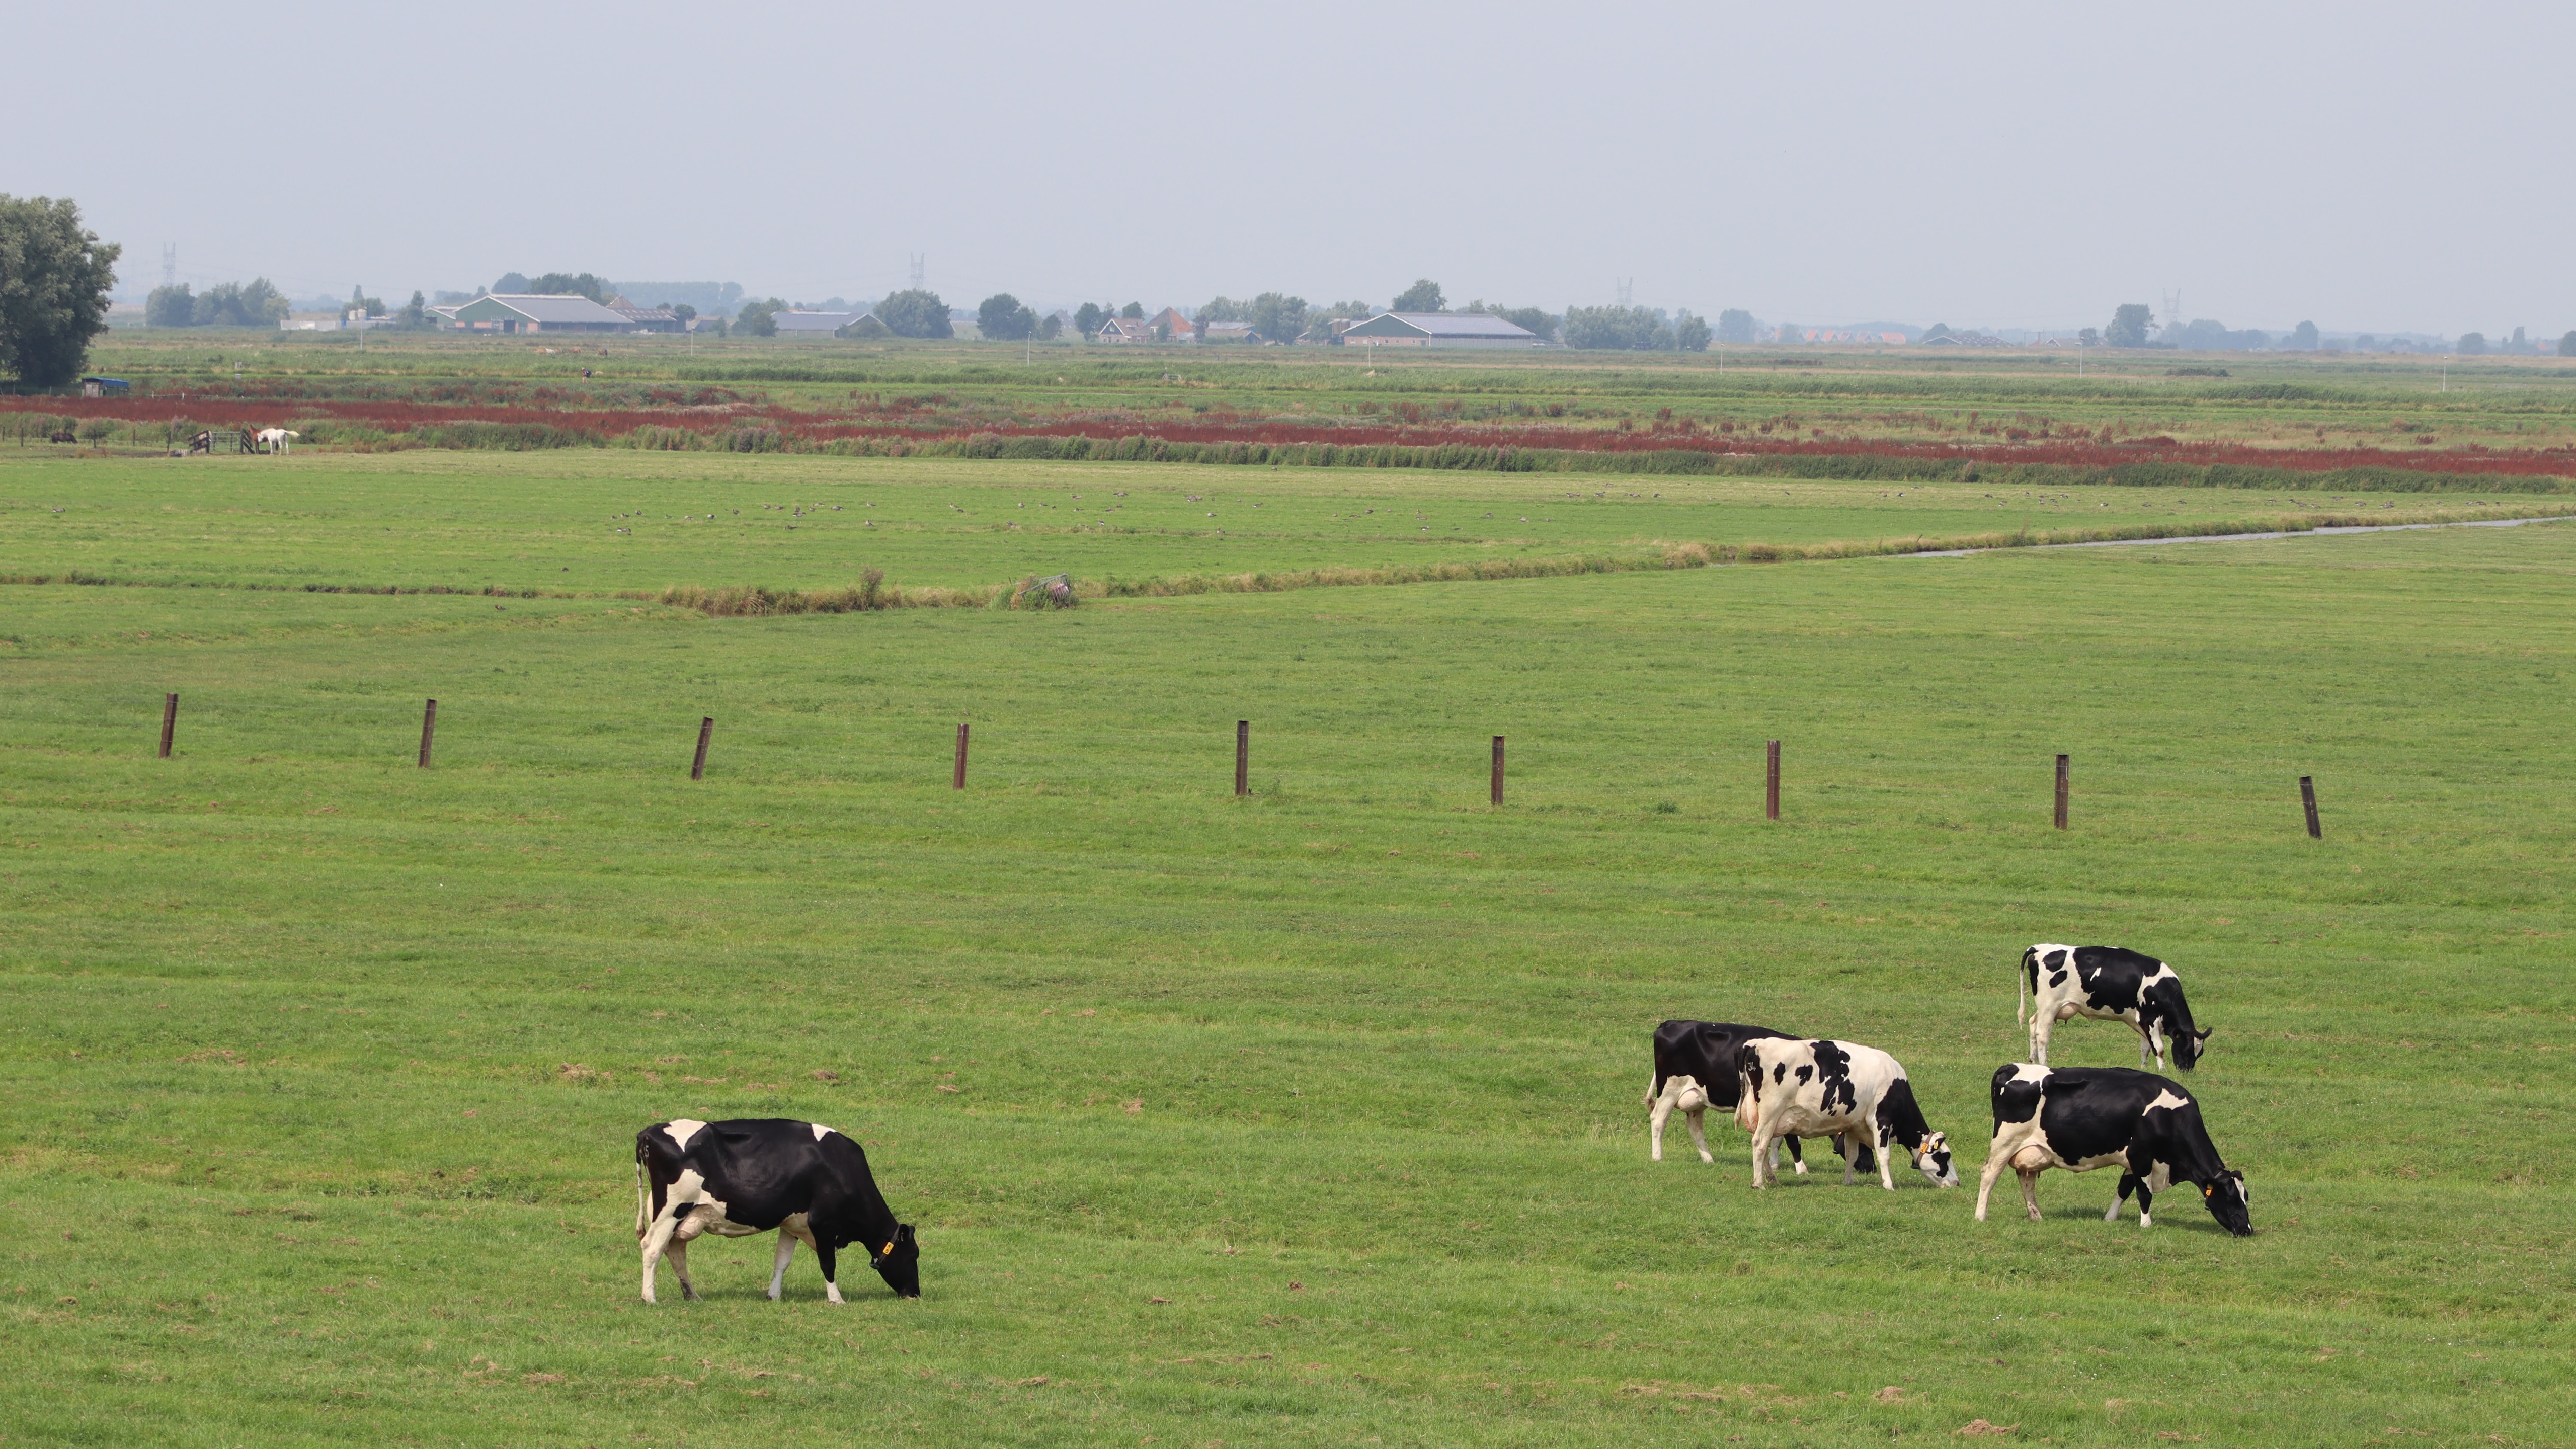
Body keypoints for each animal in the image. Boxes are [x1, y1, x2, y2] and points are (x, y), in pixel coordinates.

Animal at [635, 1118, 921, 1304]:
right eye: (913, 1255)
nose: (915, 1294)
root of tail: (650, 1131)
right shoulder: (823, 1223)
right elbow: (828, 1264)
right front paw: (836, 1299)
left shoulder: (793, 1223)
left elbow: (782, 1261)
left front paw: (773, 1295)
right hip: (671, 1209)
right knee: (652, 1247)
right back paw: (650, 1298)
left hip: (678, 1214)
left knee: (675, 1251)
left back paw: (692, 1295)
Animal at [1646, 1019, 1871, 1174]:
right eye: (1862, 1142)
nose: (1871, 1168)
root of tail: (1670, 1023)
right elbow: (1792, 1141)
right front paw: (1801, 1169)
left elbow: (1777, 1139)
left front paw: (1774, 1164)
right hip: (1670, 1088)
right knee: (1658, 1119)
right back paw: (1657, 1157)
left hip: (1698, 1097)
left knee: (1695, 1128)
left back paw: (1708, 1159)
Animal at [1733, 1038, 1957, 1190]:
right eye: (1945, 1157)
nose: (1957, 1182)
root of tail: (1754, 1045)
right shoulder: (1881, 1122)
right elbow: (1884, 1155)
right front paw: (1889, 1185)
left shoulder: (1852, 1125)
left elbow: (1852, 1155)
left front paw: (1848, 1181)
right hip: (1771, 1111)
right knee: (1760, 1144)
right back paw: (1759, 1183)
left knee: (1763, 1145)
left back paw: (1772, 1179)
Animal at [1975, 1065, 2251, 1235]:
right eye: (2230, 1198)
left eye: (2245, 1196)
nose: (2247, 1230)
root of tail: (2012, 1067)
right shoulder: (2141, 1156)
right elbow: (2144, 1194)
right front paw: (2146, 1224)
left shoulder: (2132, 1161)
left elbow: (2123, 1189)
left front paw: (2110, 1219)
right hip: (2005, 1143)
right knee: (1989, 1175)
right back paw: (1980, 1216)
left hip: (2030, 1150)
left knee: (2027, 1181)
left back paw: (2036, 1216)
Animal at [2019, 944, 2211, 1071]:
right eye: (2186, 1048)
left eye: (2200, 1053)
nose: (2186, 1070)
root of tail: (2040, 948)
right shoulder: (2149, 1019)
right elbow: (2160, 1049)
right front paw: (2162, 1070)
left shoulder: (2142, 1022)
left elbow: (2146, 1047)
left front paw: (2144, 1068)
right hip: (2049, 1006)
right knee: (2042, 1034)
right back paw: (2044, 1064)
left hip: (2044, 1007)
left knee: (2032, 1024)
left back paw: (2033, 1060)